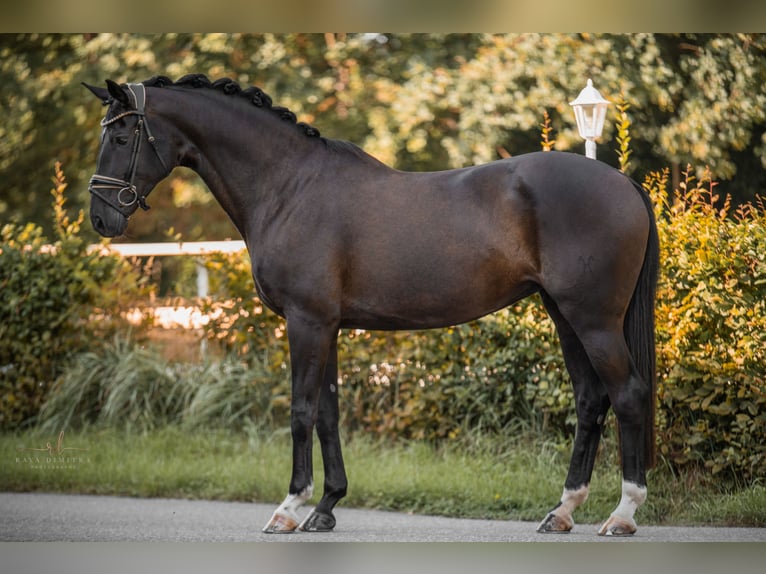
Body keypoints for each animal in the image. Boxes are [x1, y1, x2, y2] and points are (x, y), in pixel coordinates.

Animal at [82, 74, 660, 536]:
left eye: (121, 135)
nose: (101, 218)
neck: (289, 186)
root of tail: (622, 182)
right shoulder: (328, 326)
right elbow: (328, 413)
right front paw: (326, 508)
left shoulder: (307, 322)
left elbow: (301, 410)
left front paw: (289, 508)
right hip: (564, 316)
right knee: (590, 401)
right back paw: (561, 512)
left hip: (593, 320)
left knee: (627, 395)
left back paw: (622, 515)